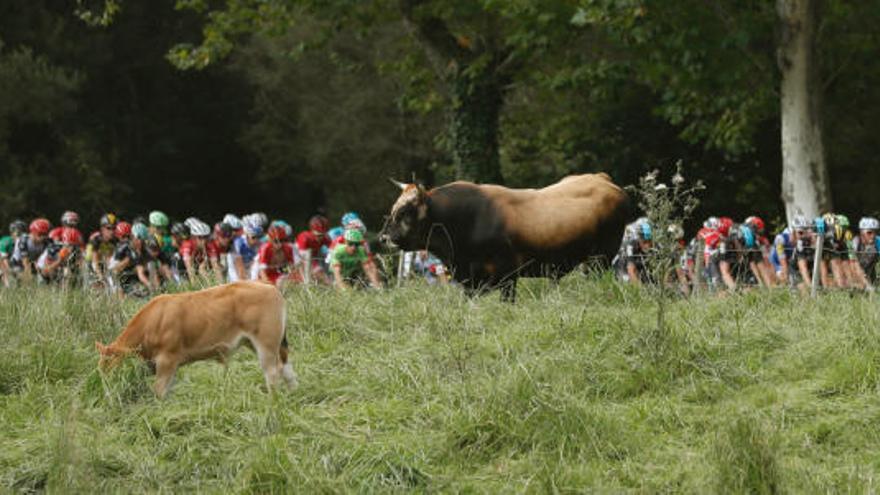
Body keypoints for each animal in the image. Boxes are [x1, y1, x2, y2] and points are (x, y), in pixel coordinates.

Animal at [95, 280, 296, 400]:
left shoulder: (167, 361)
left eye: (110, 366)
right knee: (287, 369)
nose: (107, 392)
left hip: (266, 342)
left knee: (272, 372)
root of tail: (270, 288)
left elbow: (159, 391)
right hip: (265, 344)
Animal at [378, 172, 632, 300]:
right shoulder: (470, 282)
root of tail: (602, 179)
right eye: (393, 208)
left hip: (602, 256)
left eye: (405, 211)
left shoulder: (507, 275)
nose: (383, 238)